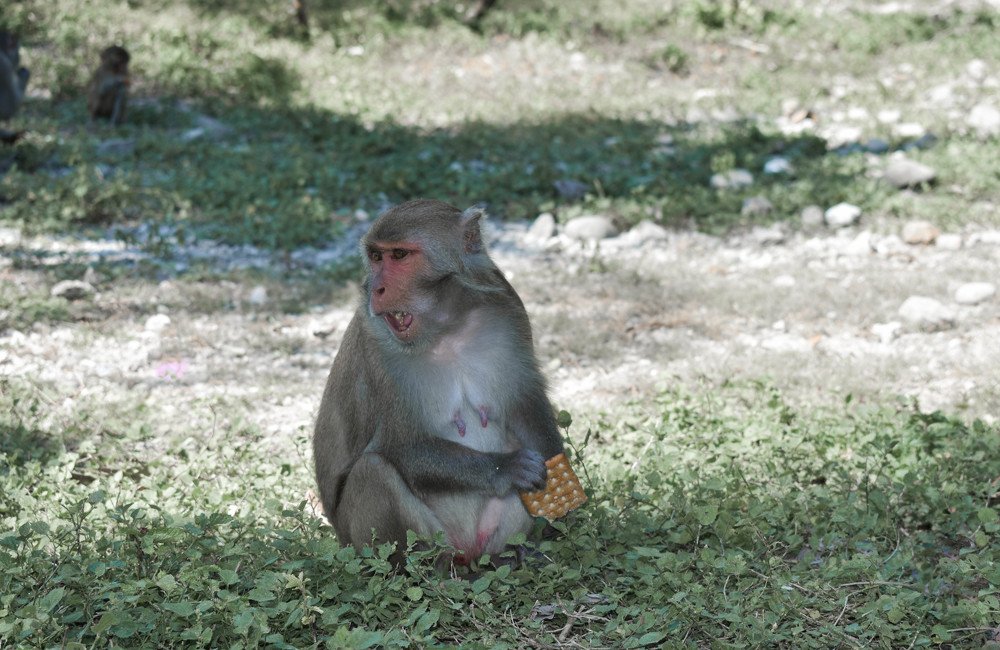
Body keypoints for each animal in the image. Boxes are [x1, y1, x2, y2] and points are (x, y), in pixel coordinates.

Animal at [313, 199, 565, 567]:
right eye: (376, 256)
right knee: (373, 471)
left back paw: (509, 556)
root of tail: (469, 552)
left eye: (399, 255)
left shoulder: (509, 308)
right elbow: (401, 444)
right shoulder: (376, 346)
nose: (375, 288)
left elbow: (523, 405)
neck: (446, 325)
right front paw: (506, 468)